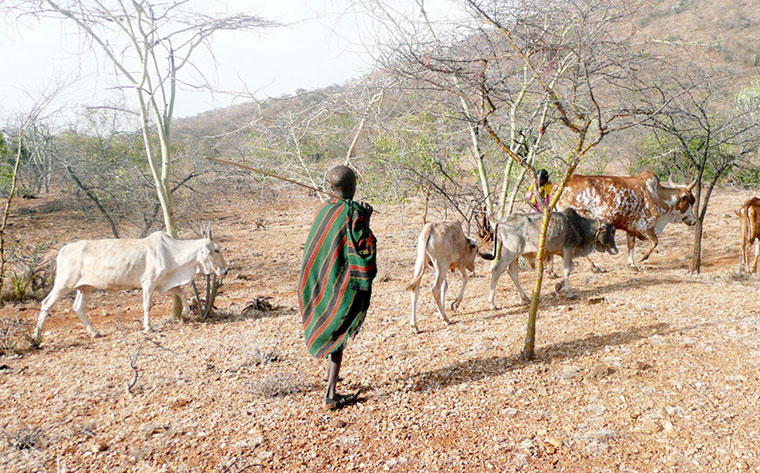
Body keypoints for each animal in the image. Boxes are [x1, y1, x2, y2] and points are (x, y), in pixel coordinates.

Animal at [33, 231, 228, 341]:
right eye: (216, 250)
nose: (225, 271)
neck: (172, 252)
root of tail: (64, 249)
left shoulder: (165, 281)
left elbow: (181, 291)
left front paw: (186, 312)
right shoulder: (148, 282)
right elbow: (147, 305)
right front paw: (148, 326)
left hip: (85, 287)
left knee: (78, 307)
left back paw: (94, 332)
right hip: (63, 284)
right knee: (46, 303)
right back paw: (36, 335)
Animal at [488, 208, 618, 308]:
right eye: (612, 231)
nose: (616, 250)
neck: (579, 226)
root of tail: (501, 221)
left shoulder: (563, 253)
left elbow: (571, 268)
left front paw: (558, 286)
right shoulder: (568, 249)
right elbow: (567, 270)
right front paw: (569, 293)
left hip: (515, 255)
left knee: (512, 272)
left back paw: (526, 298)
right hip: (510, 253)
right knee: (497, 270)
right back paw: (492, 304)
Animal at [557, 171, 696, 270]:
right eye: (691, 202)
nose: (694, 221)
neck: (657, 196)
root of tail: (560, 186)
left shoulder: (631, 228)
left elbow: (631, 245)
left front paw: (632, 264)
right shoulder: (645, 226)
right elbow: (655, 242)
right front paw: (643, 257)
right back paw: (593, 267)